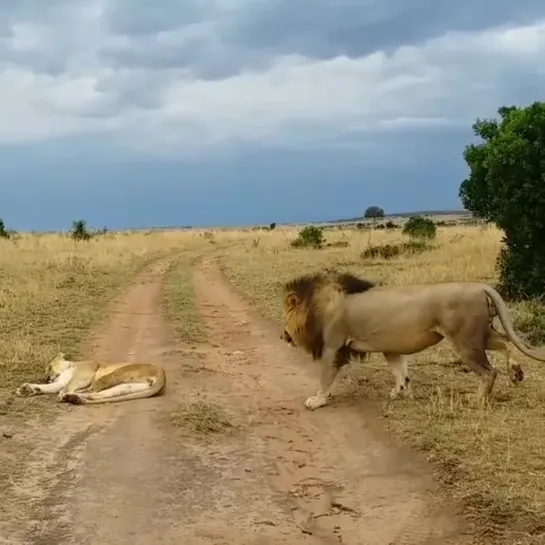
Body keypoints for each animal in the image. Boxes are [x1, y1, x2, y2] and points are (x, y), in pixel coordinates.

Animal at [16, 352, 166, 404]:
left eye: (49, 367)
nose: (46, 378)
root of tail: (162, 375)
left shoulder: (83, 375)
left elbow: (66, 386)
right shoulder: (61, 381)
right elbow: (50, 387)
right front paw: (29, 388)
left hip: (115, 374)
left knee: (91, 390)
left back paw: (69, 397)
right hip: (126, 387)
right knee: (96, 394)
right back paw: (73, 398)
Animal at [280, 270, 540, 410]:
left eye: (286, 317)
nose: (282, 335)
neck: (317, 305)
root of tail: (480, 287)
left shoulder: (332, 347)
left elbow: (325, 379)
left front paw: (317, 401)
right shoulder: (390, 347)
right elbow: (400, 371)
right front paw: (399, 392)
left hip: (465, 340)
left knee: (489, 372)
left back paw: (477, 400)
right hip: (480, 335)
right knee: (506, 342)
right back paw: (516, 372)